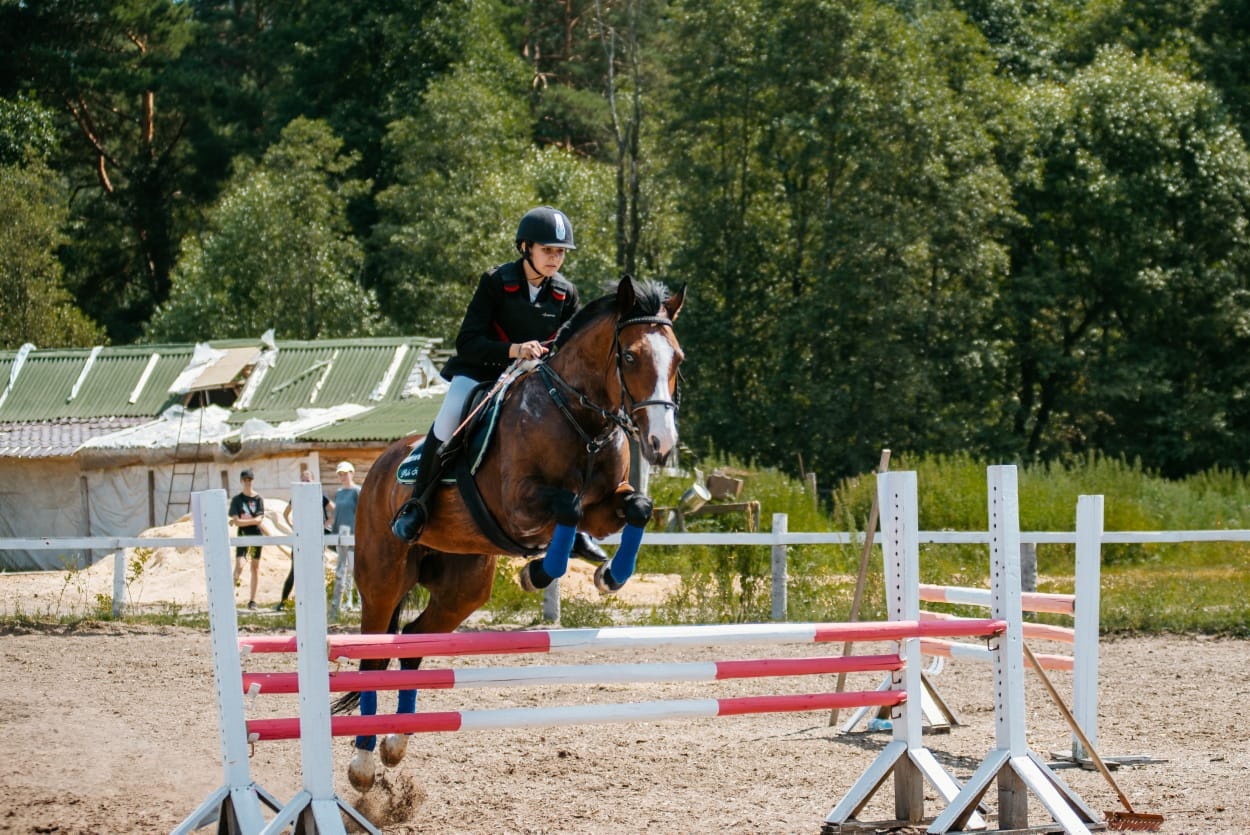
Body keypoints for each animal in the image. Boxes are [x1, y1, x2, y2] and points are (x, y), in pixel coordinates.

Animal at [337, 273, 685, 790]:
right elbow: (567, 506)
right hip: (382, 575)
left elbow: (636, 508)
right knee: (374, 657)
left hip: (463, 587)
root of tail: (380, 466)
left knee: (414, 644)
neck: (579, 417)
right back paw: (362, 764)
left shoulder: (606, 507)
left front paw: (606, 575)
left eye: (677, 359)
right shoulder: (520, 506)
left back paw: (395, 744)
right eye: (629, 356)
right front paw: (537, 573)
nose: (662, 444)